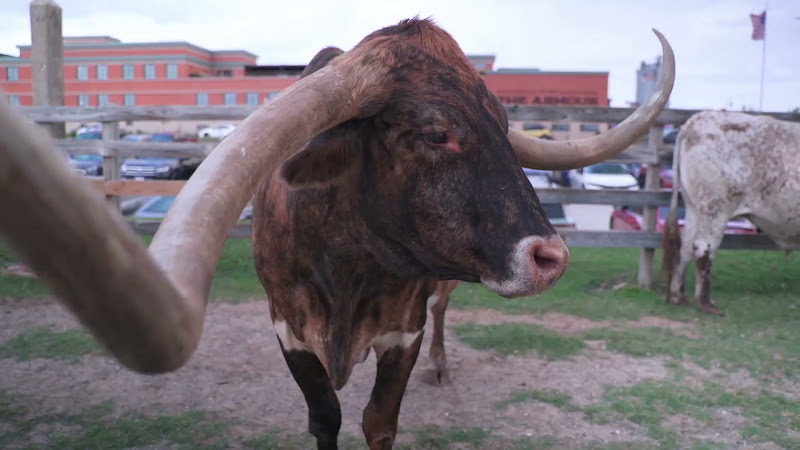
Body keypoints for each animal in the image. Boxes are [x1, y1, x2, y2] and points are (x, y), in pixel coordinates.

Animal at [0, 18, 674, 450]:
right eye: (436, 133)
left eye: (503, 125)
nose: (549, 256)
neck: (349, 268)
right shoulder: (288, 326)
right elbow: (324, 417)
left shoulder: (404, 329)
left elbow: (380, 419)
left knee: (445, 314)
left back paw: (443, 366)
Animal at [662, 110, 800, 315]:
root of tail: (694, 122)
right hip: (715, 209)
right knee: (703, 248)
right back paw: (706, 303)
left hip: (694, 208)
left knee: (685, 247)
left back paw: (678, 296)